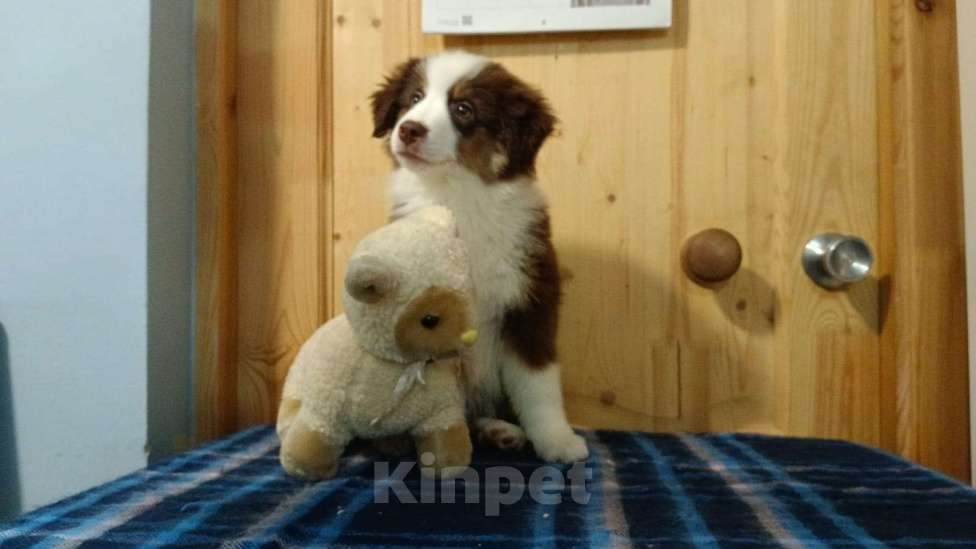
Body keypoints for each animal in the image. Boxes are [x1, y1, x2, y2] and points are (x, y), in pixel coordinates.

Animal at [370, 51, 588, 462]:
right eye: (414, 98)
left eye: (463, 108)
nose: (409, 129)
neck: (457, 197)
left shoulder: (530, 302)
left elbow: (539, 384)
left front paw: (557, 440)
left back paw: (500, 431)